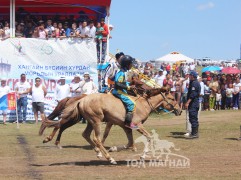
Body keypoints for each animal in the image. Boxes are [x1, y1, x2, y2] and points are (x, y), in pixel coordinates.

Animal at [44, 87, 181, 165]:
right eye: (171, 98)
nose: (179, 110)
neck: (143, 104)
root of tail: (81, 100)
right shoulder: (137, 125)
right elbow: (149, 137)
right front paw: (142, 156)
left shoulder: (126, 127)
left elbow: (130, 143)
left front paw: (114, 148)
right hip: (96, 121)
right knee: (96, 138)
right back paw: (110, 158)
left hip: (90, 122)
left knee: (86, 135)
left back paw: (100, 152)